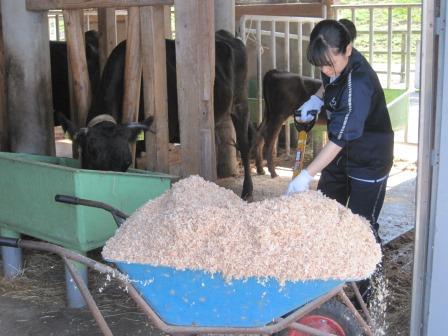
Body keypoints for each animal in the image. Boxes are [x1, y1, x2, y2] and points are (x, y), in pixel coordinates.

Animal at [75, 28, 252, 200]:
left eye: (126, 163)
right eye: (92, 159)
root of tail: (226, 34)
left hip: (240, 102)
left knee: (244, 144)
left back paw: (247, 190)